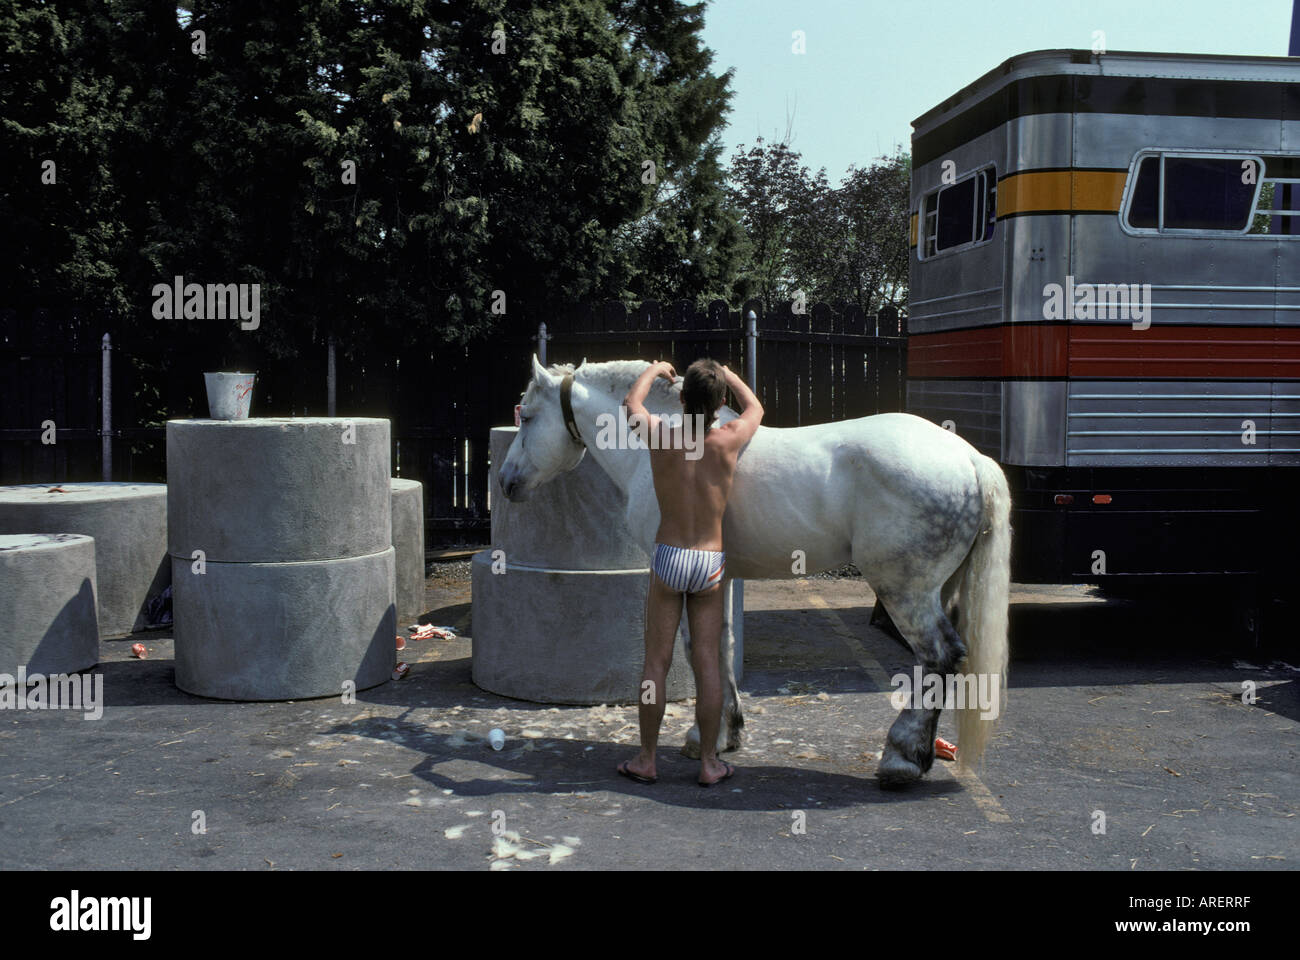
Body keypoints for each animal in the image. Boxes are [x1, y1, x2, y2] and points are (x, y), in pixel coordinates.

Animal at [491, 356, 1008, 780]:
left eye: (528, 416)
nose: (506, 481)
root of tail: (970, 458)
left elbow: (695, 648)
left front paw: (706, 737)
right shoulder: (720, 578)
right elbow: (720, 646)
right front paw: (726, 734)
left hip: (905, 591)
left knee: (940, 657)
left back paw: (901, 758)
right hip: (939, 589)